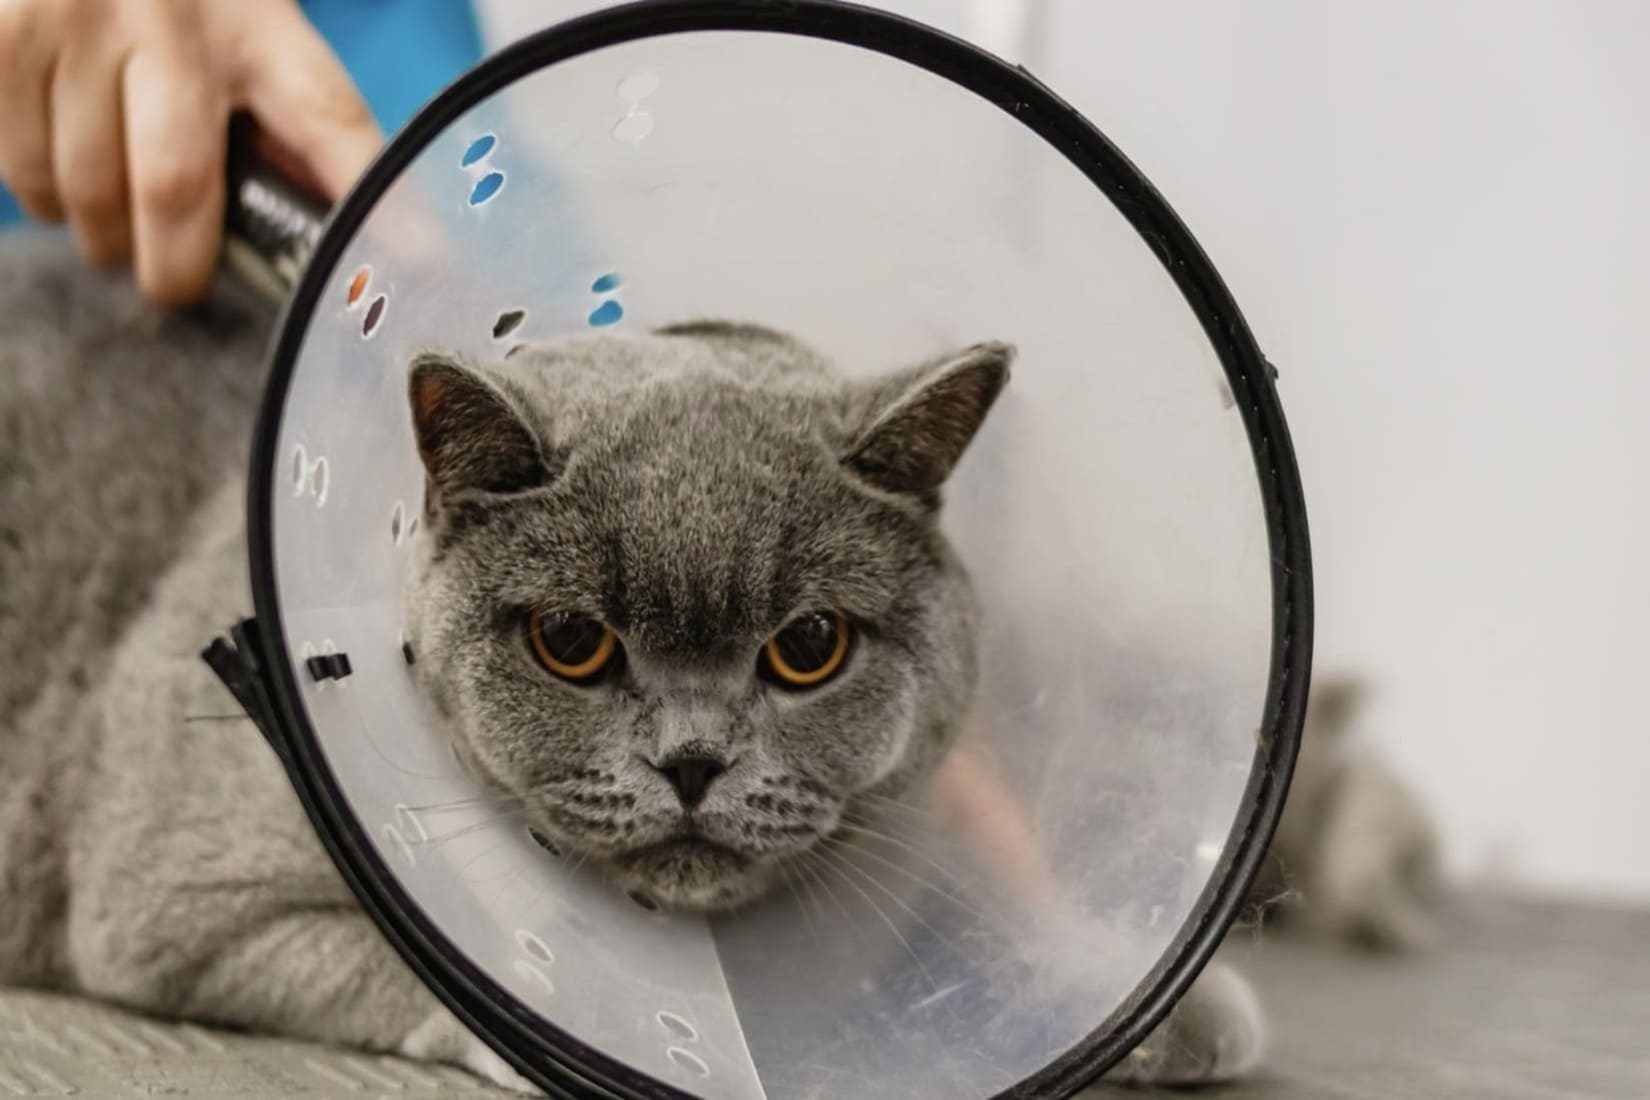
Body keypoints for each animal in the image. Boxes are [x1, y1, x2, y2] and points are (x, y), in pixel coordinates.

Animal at [0, 234, 1432, 1095]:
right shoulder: (180, 901)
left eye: (807, 649)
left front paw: (1154, 1001)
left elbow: (967, 925)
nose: (691, 757)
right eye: (571, 641)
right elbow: (422, 964)